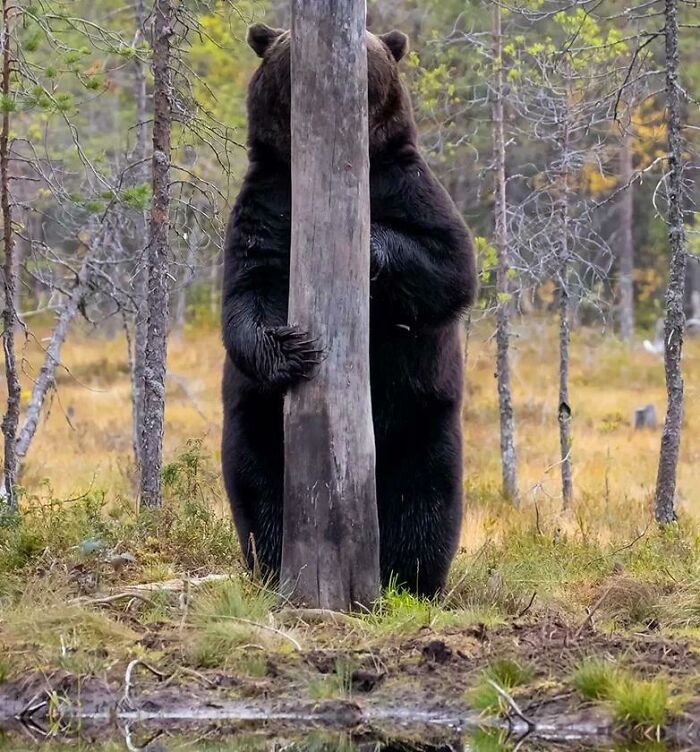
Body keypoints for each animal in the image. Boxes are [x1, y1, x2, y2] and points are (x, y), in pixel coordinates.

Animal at [221, 23, 476, 596]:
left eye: (369, 47)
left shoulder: (406, 184)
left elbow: (449, 264)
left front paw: (370, 243)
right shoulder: (268, 201)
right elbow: (247, 290)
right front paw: (292, 348)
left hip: (422, 420)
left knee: (424, 501)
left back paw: (411, 579)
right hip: (256, 425)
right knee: (260, 492)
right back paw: (274, 564)